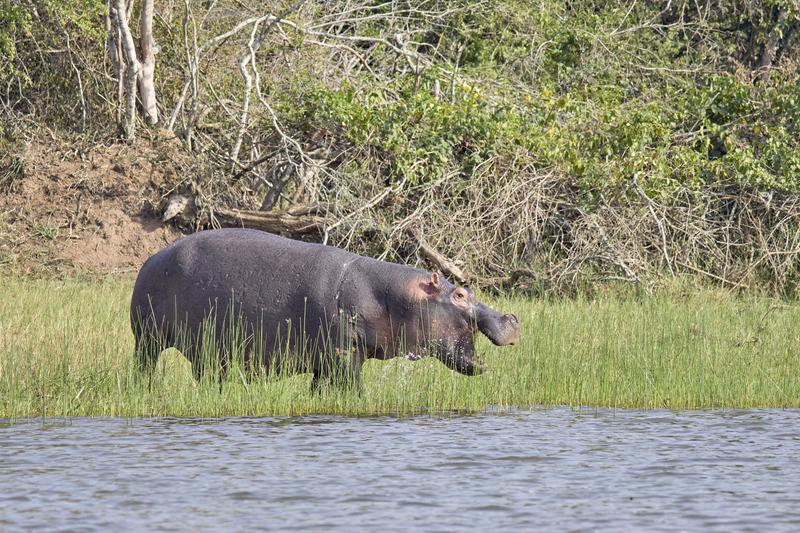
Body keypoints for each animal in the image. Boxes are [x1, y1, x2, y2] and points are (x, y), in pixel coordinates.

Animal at [129, 227, 520, 388]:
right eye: (459, 295)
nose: (512, 317)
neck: (391, 295)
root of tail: (152, 257)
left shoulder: (326, 362)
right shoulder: (342, 354)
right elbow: (351, 387)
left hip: (207, 352)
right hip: (146, 339)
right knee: (145, 366)